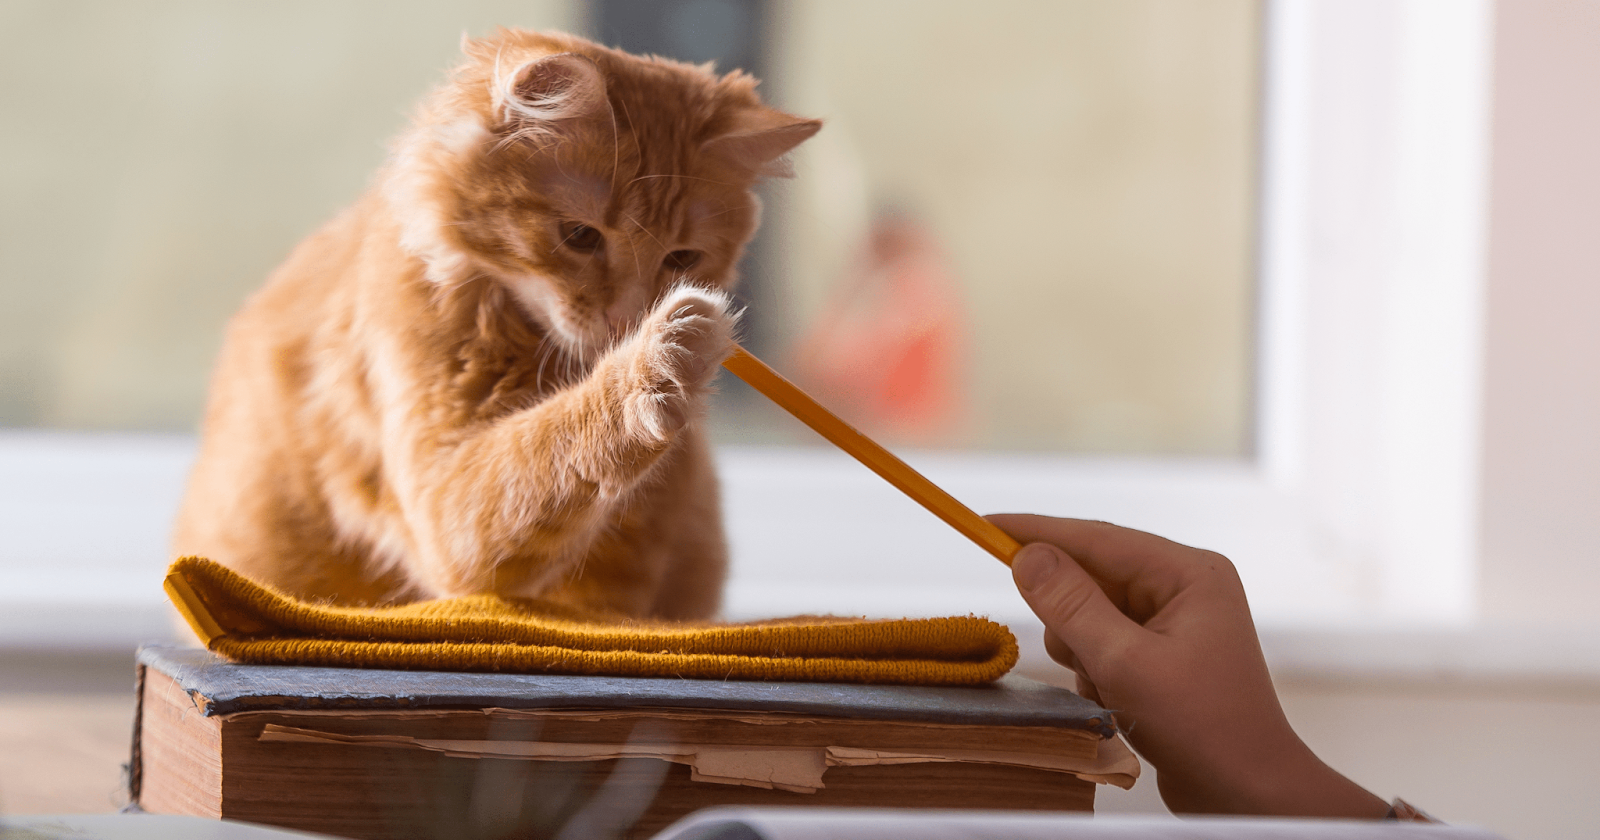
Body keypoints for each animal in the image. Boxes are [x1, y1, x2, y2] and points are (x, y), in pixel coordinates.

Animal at [173, 29, 819, 617]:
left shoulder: (637, 547)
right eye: (579, 236)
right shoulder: (446, 503)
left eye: (682, 258)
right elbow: (554, 440)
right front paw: (659, 361)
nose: (627, 318)